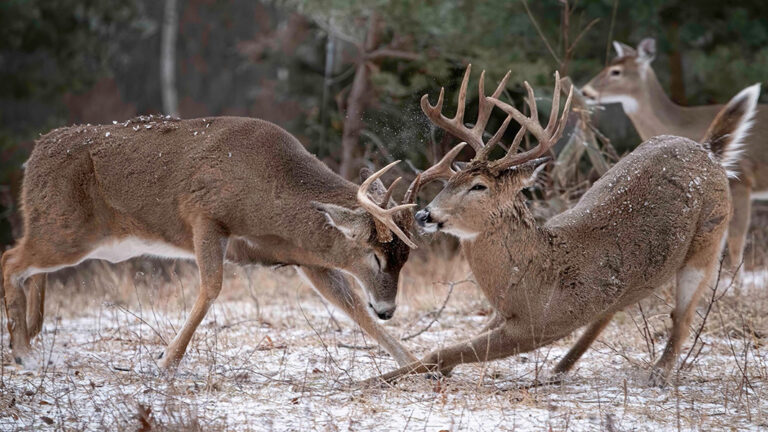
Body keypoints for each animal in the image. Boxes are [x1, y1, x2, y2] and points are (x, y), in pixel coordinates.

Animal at [1, 114, 421, 370]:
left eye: (403, 259)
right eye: (375, 256)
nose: (388, 309)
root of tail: (34, 153)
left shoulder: (305, 256)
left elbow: (351, 306)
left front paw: (414, 363)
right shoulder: (204, 215)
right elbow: (211, 288)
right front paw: (166, 359)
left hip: (66, 233)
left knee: (26, 265)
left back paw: (30, 336)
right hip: (68, 230)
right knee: (10, 259)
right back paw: (22, 352)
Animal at [363, 65, 759, 387]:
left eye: (479, 186)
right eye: (451, 180)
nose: (424, 215)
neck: (535, 277)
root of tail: (708, 151)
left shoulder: (539, 325)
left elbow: (442, 351)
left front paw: (371, 380)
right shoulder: (501, 313)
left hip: (706, 245)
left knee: (683, 314)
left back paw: (658, 374)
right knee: (612, 309)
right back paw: (560, 368)